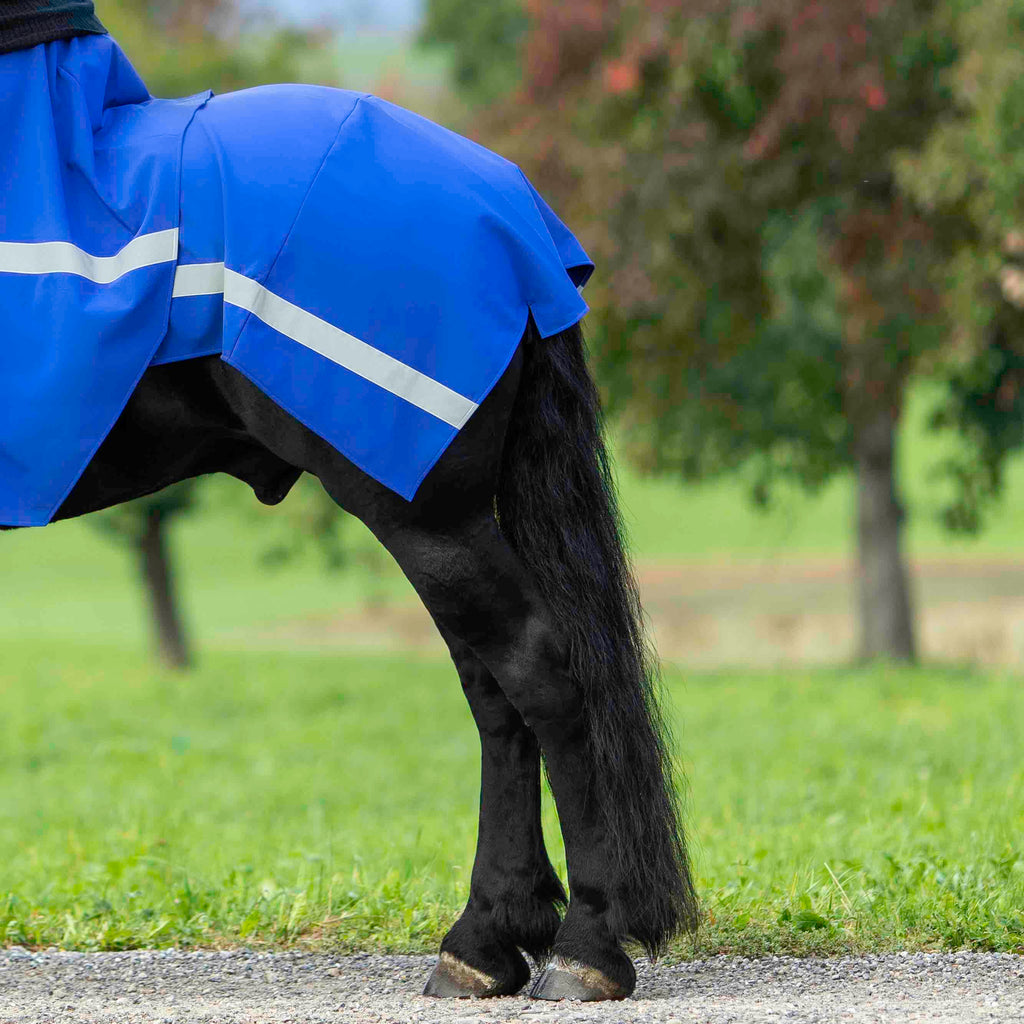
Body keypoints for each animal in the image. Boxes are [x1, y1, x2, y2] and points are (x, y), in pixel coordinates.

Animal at [1, 35, 697, 1003]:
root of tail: (509, 205)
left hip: (422, 511)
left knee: (539, 674)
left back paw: (583, 945)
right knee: (494, 694)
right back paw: (487, 938)